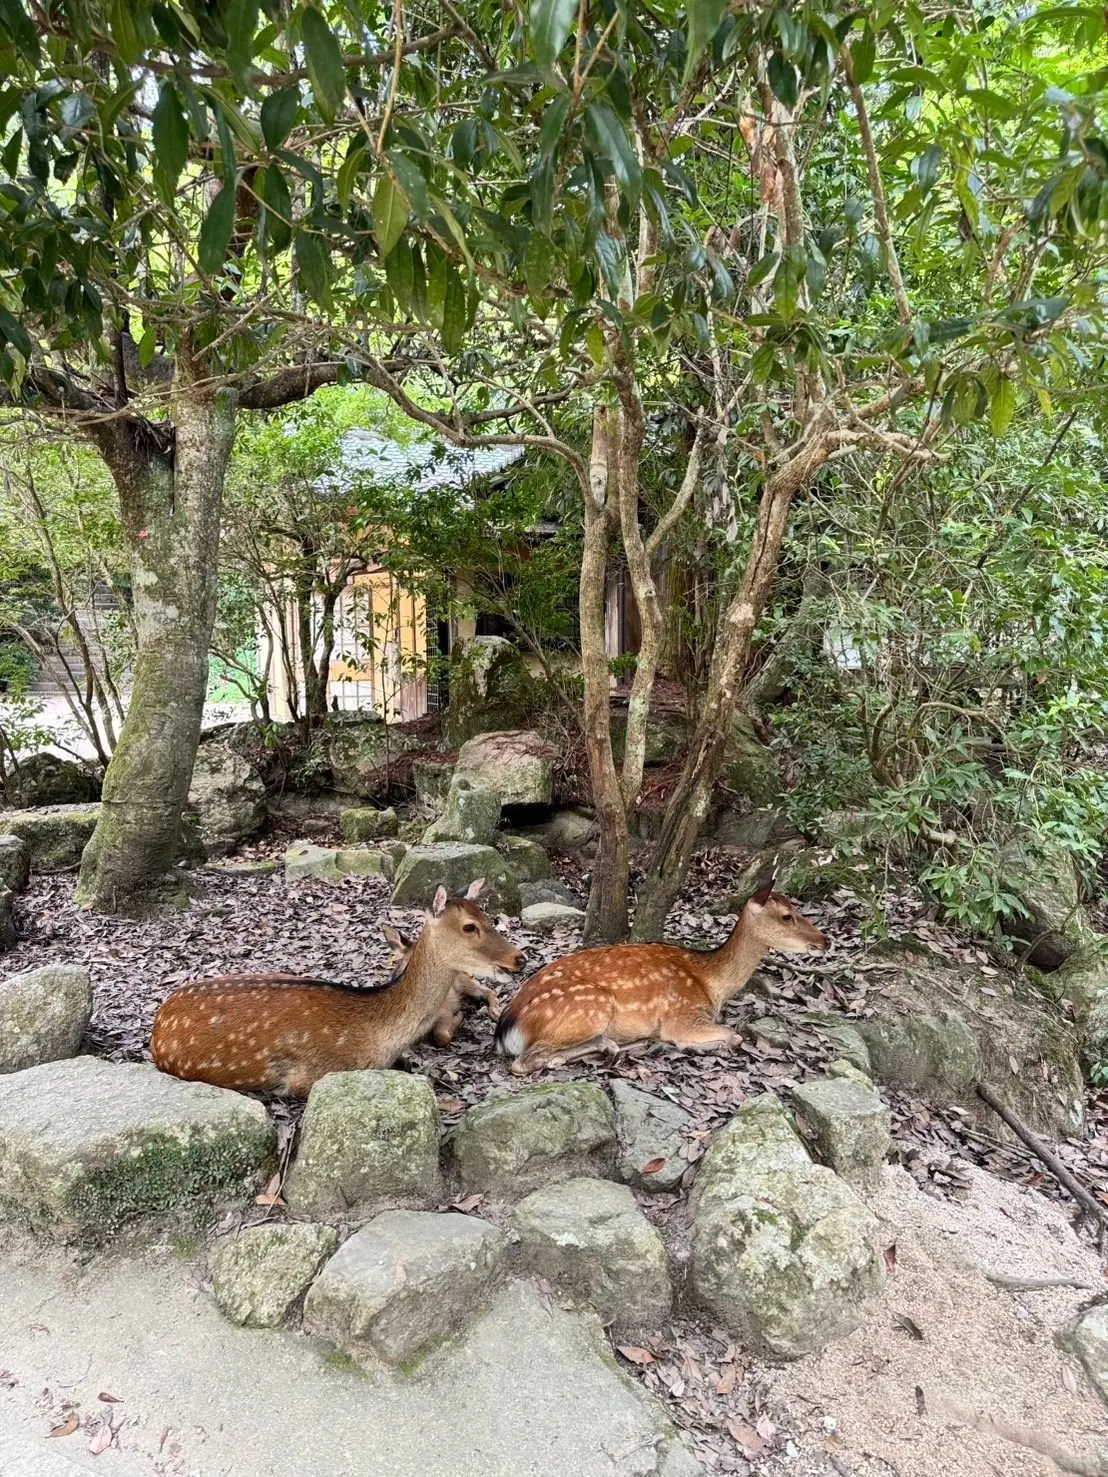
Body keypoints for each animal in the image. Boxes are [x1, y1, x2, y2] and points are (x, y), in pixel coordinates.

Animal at [150, 880, 524, 1097]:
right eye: (469, 926)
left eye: (489, 917)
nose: (518, 958)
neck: (377, 1033)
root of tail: (158, 1024)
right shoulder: (309, 1078)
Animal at [494, 873, 828, 1075]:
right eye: (787, 916)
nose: (825, 940)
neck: (712, 984)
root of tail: (506, 1027)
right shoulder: (684, 1016)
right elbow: (734, 1035)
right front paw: (690, 1045)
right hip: (590, 1008)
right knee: (525, 1061)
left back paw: (615, 1046)